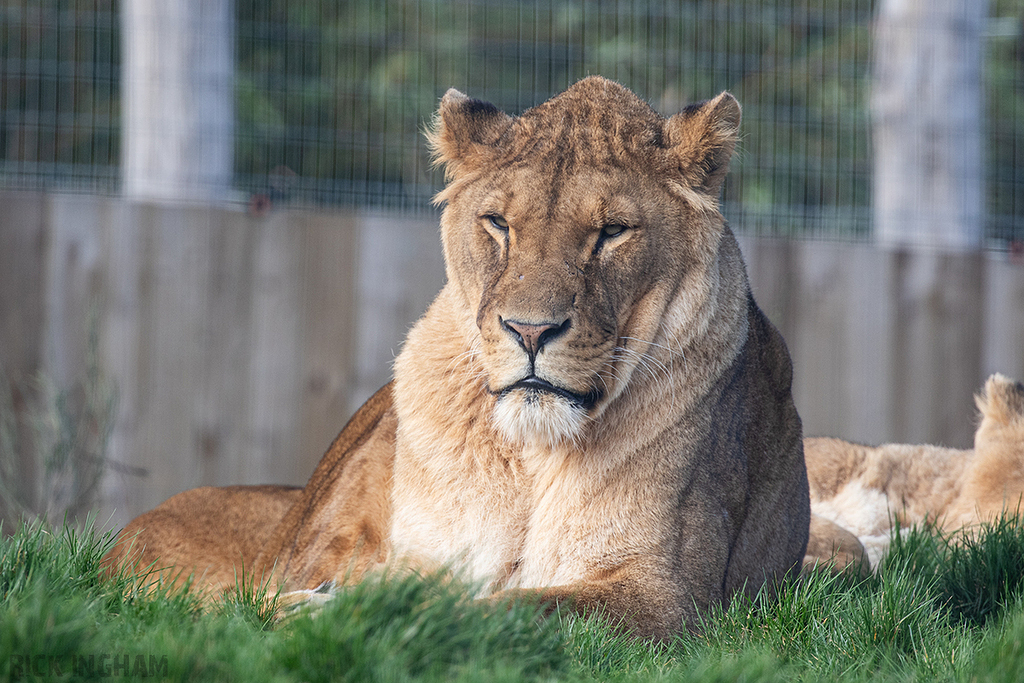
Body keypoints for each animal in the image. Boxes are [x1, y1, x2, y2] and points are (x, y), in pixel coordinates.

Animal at [102, 76, 810, 639]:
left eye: (613, 232)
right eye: (498, 223)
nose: (530, 331)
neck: (530, 453)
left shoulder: (668, 598)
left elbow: (508, 607)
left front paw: (330, 613)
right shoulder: (415, 556)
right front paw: (310, 607)